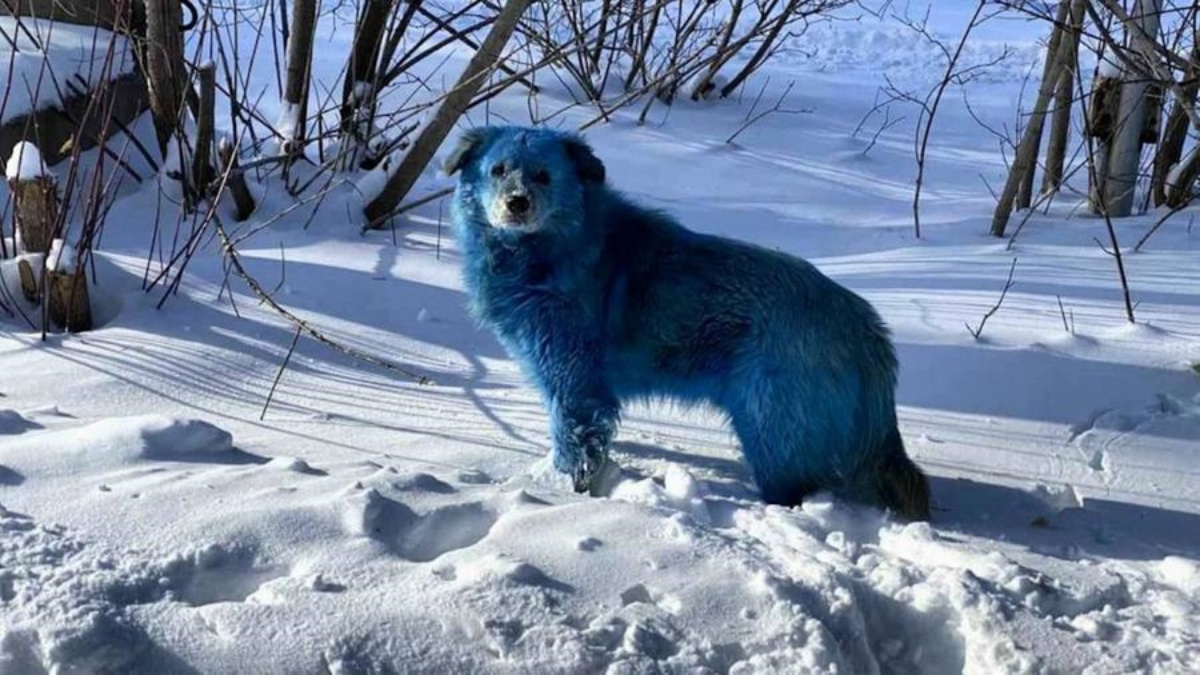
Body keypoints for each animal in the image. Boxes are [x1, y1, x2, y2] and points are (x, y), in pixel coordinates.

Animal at [448, 123, 926, 516]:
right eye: (498, 170)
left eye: (544, 175)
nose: (517, 204)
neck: (554, 248)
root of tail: (865, 325)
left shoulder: (574, 385)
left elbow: (575, 444)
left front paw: (564, 495)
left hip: (770, 430)